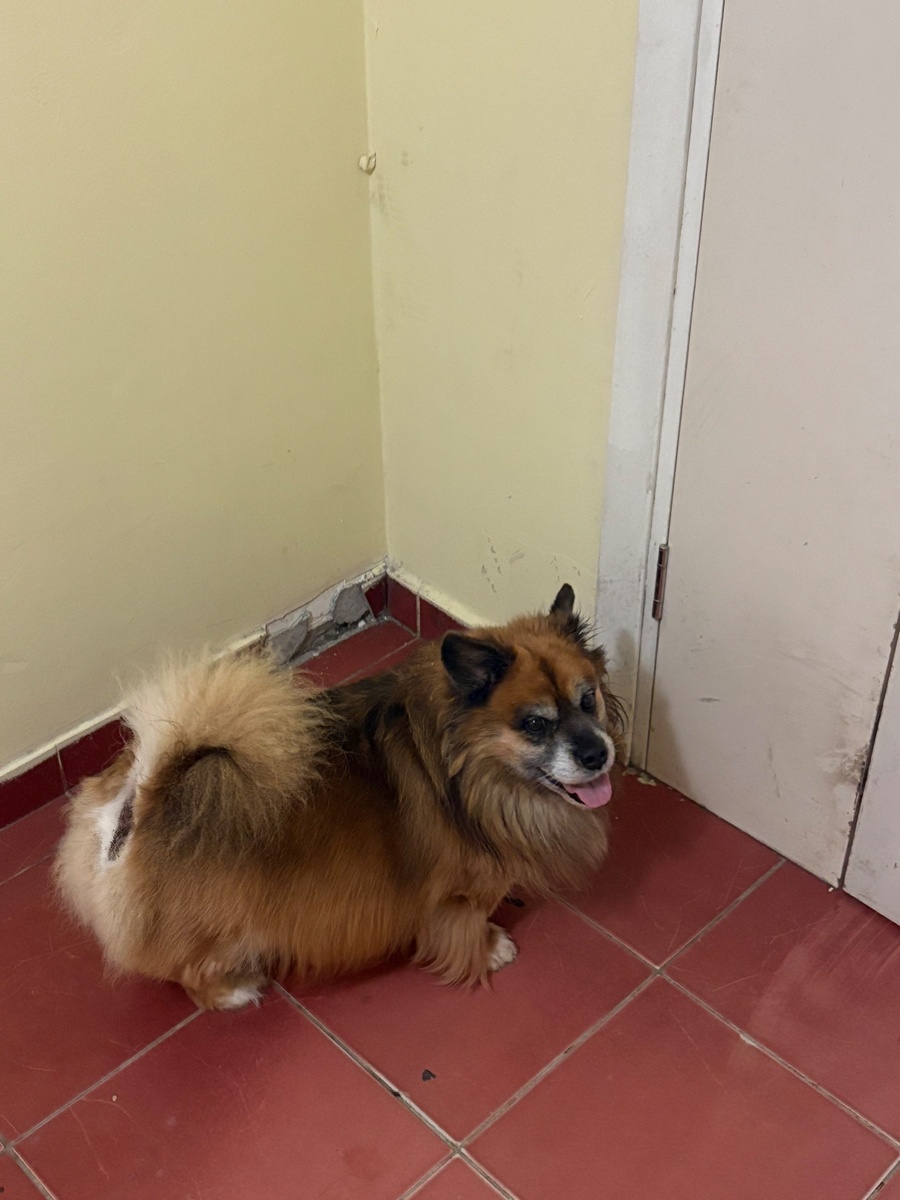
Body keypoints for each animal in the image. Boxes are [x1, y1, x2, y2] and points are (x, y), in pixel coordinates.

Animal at [55, 584, 624, 1010]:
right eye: (535, 724)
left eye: (588, 699)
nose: (598, 754)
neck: (463, 766)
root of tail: (143, 795)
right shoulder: (462, 891)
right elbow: (468, 924)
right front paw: (490, 948)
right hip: (216, 923)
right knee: (192, 972)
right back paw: (235, 990)